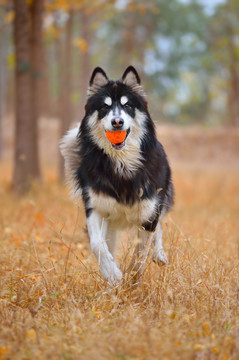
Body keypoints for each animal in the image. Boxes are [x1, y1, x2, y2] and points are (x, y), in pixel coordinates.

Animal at [59, 66, 174, 286]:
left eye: (127, 105)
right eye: (104, 107)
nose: (117, 122)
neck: (122, 163)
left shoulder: (148, 213)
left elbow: (140, 254)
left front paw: (133, 281)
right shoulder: (96, 207)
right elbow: (97, 244)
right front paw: (112, 274)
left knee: (158, 230)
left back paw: (159, 254)